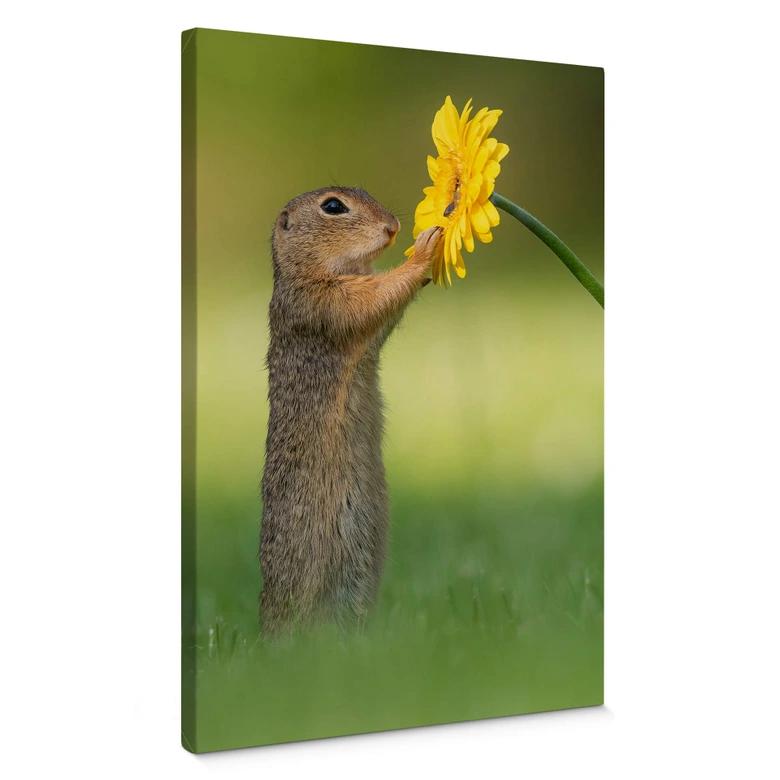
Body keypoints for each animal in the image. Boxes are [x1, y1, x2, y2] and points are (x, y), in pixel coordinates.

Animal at [259, 186, 442, 634]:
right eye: (333, 206)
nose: (393, 226)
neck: (303, 271)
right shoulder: (324, 302)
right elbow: (374, 296)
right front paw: (425, 249)